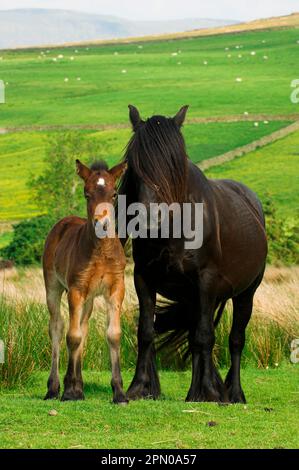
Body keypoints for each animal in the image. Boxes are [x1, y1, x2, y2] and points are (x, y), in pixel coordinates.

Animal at [42, 160, 127, 402]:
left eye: (114, 193)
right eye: (86, 194)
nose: (103, 224)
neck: (100, 252)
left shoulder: (117, 288)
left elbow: (112, 334)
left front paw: (119, 392)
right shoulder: (76, 290)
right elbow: (72, 336)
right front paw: (70, 391)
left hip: (89, 299)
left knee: (83, 328)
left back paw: (78, 385)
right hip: (53, 287)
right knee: (57, 328)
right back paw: (54, 387)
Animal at [119, 106, 268, 404]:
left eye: (174, 164)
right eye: (134, 164)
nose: (149, 221)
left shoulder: (205, 280)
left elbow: (205, 336)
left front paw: (207, 391)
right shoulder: (143, 279)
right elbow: (146, 332)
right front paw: (140, 387)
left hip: (245, 293)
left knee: (235, 339)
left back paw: (233, 393)